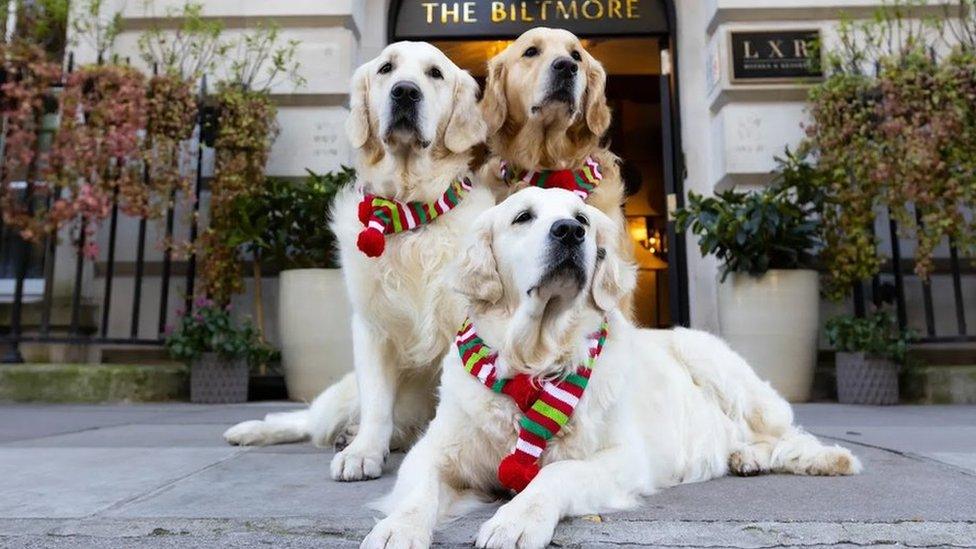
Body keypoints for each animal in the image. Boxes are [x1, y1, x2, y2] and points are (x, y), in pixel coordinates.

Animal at [224, 41, 492, 480]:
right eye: (386, 69)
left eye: (435, 73)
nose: (405, 92)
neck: (409, 215)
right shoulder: (371, 328)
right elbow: (378, 404)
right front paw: (363, 452)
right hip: (341, 395)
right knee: (305, 419)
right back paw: (252, 430)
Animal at [360, 187, 860, 548]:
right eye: (523, 217)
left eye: (581, 219)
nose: (568, 232)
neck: (535, 362)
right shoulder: (436, 450)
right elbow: (418, 492)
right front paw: (397, 529)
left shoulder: (624, 458)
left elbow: (556, 474)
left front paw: (517, 520)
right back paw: (744, 457)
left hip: (712, 359)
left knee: (788, 434)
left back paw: (801, 457)